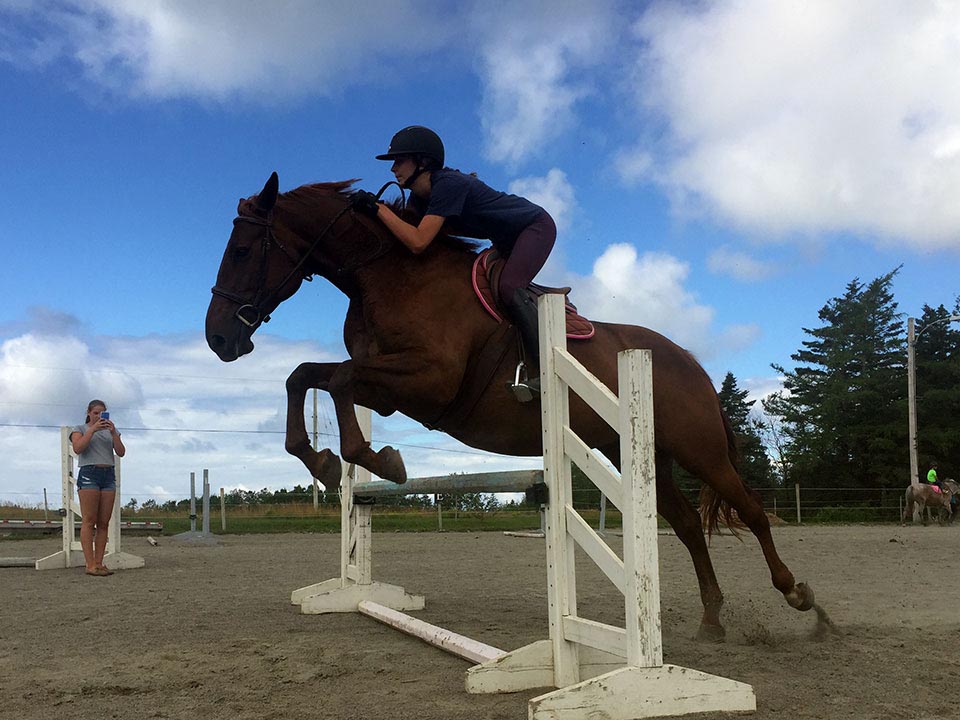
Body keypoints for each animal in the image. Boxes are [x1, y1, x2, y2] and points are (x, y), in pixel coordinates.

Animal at [206, 172, 820, 640]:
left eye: (242, 250)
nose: (218, 339)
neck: (386, 274)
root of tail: (688, 362)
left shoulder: (429, 381)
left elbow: (338, 378)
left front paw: (371, 459)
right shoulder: (390, 388)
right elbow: (308, 376)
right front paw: (327, 460)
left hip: (700, 450)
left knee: (752, 512)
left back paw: (799, 596)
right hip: (638, 453)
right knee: (689, 525)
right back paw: (712, 620)